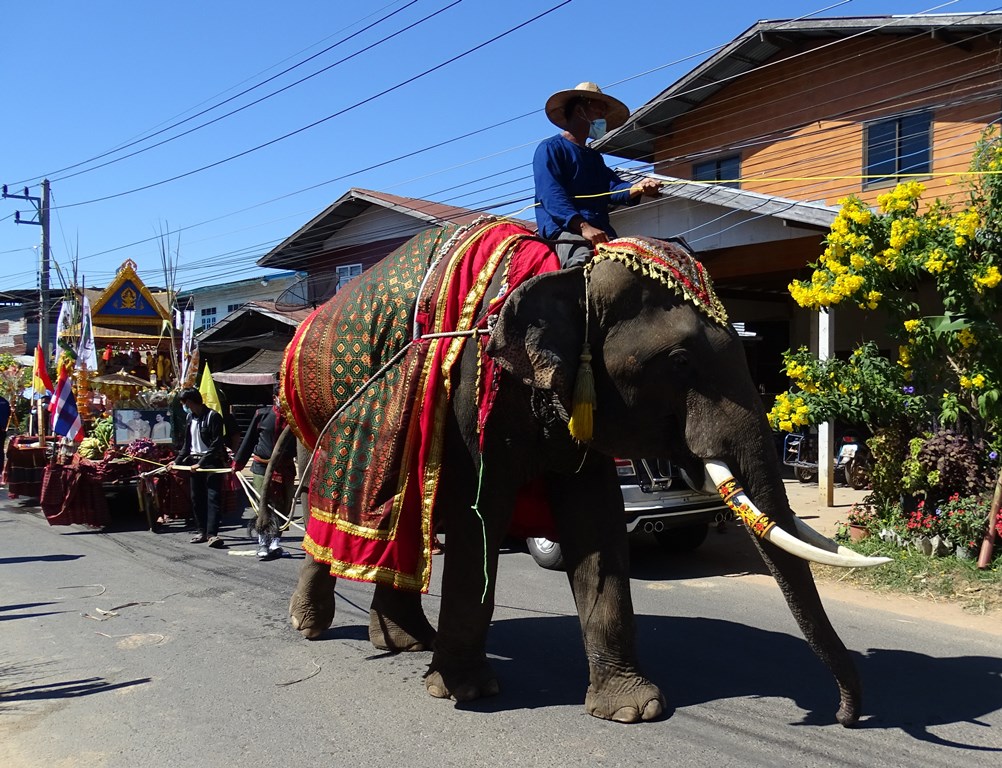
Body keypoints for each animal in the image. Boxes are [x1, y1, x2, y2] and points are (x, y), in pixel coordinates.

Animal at [284, 218, 885, 729]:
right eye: (680, 361)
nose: (845, 717)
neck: (570, 272)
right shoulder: (476, 392)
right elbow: (482, 515)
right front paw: (465, 692)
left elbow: (595, 518)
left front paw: (633, 710)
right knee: (329, 507)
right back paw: (312, 627)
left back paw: (403, 642)